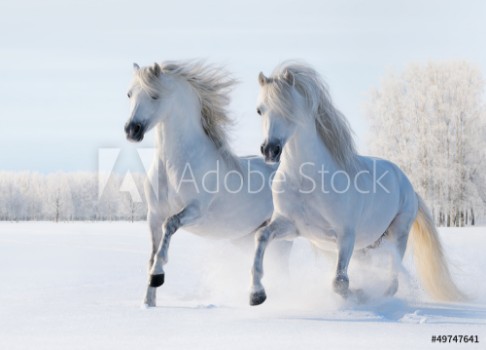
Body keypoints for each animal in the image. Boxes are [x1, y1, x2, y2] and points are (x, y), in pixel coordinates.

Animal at [124, 61, 288, 308]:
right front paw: (149, 301)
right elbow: (152, 254)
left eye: (154, 95)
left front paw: (158, 276)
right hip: (245, 237)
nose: (131, 130)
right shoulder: (154, 215)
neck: (173, 166)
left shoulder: (195, 211)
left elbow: (169, 227)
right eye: (129, 94)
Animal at [249, 61, 466, 304]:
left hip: (398, 234)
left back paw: (381, 296)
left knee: (393, 276)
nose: (270, 149)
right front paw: (256, 294)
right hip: (366, 246)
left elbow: (339, 283)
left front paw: (358, 294)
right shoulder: (292, 226)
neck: (307, 179)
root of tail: (407, 184)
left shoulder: (346, 235)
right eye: (260, 110)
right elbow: (261, 236)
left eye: (289, 109)